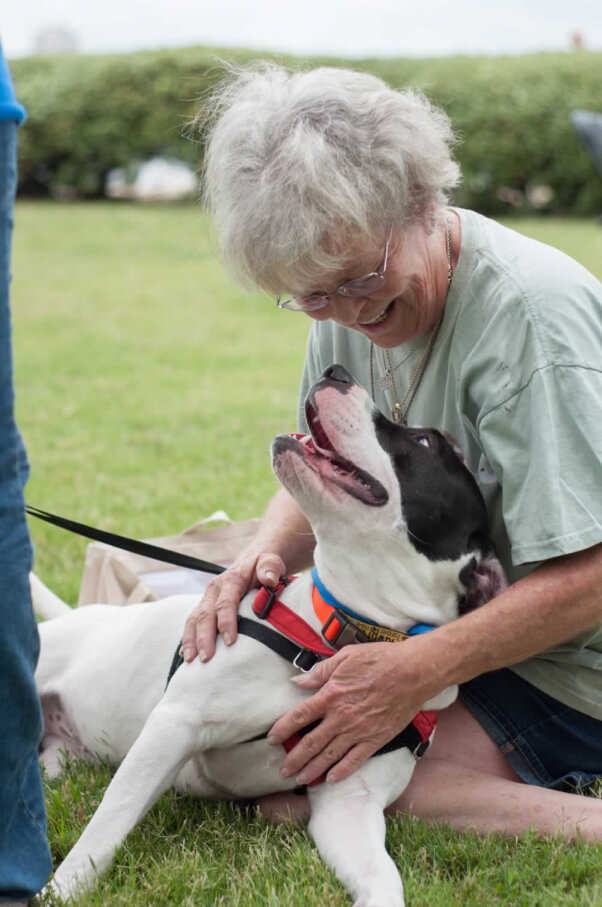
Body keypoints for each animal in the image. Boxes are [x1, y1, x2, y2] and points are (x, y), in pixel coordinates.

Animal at [31, 366, 502, 904]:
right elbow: (107, 826)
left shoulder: (349, 801)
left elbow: (384, 878)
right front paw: (61, 891)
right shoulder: (174, 724)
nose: (336, 372)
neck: (339, 639)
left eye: (424, 441)